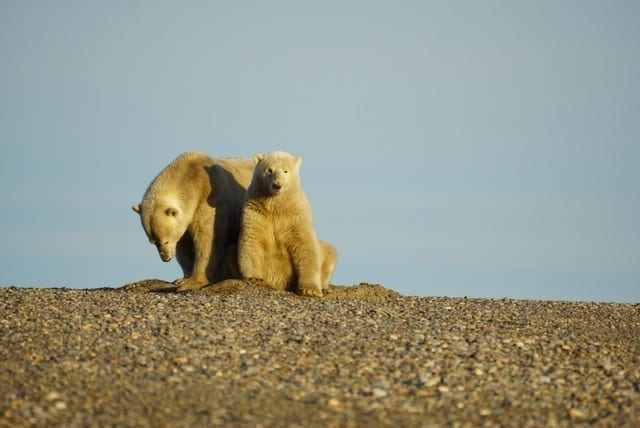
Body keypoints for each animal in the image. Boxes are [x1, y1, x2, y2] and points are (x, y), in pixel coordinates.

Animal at [131, 151, 254, 290]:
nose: (166, 258)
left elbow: (207, 239)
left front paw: (193, 281)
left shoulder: (209, 198)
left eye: (166, 241)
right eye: (153, 242)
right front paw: (182, 279)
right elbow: (183, 245)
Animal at [238, 151, 338, 298]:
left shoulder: (295, 217)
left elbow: (305, 246)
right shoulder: (256, 212)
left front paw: (310, 290)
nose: (277, 185)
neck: (276, 206)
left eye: (286, 171)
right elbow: (252, 241)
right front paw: (255, 278)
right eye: (269, 170)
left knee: (330, 251)